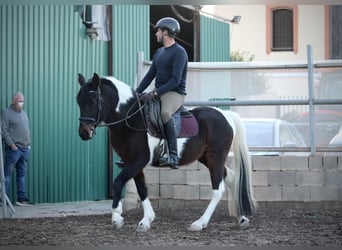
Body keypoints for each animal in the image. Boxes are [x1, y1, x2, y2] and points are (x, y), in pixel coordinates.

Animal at [75, 73, 256, 232]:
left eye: (92, 101)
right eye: (78, 102)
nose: (84, 133)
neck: (130, 119)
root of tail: (226, 115)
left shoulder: (139, 160)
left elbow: (118, 182)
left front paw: (117, 217)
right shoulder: (130, 161)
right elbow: (142, 189)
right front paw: (146, 220)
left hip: (216, 157)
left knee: (218, 189)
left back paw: (199, 223)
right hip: (207, 158)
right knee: (232, 178)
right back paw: (242, 218)